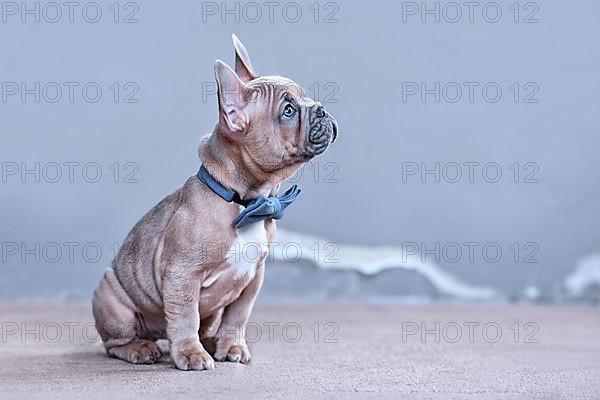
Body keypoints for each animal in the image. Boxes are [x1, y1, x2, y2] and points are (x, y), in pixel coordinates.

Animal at [92, 36, 338, 370]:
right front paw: (190, 354)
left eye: (306, 97)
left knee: (204, 326)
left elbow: (237, 316)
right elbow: (184, 317)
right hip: (113, 300)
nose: (321, 109)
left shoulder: (253, 278)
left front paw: (231, 346)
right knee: (115, 343)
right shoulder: (182, 275)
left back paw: (210, 342)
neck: (244, 201)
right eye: (288, 110)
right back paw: (141, 348)